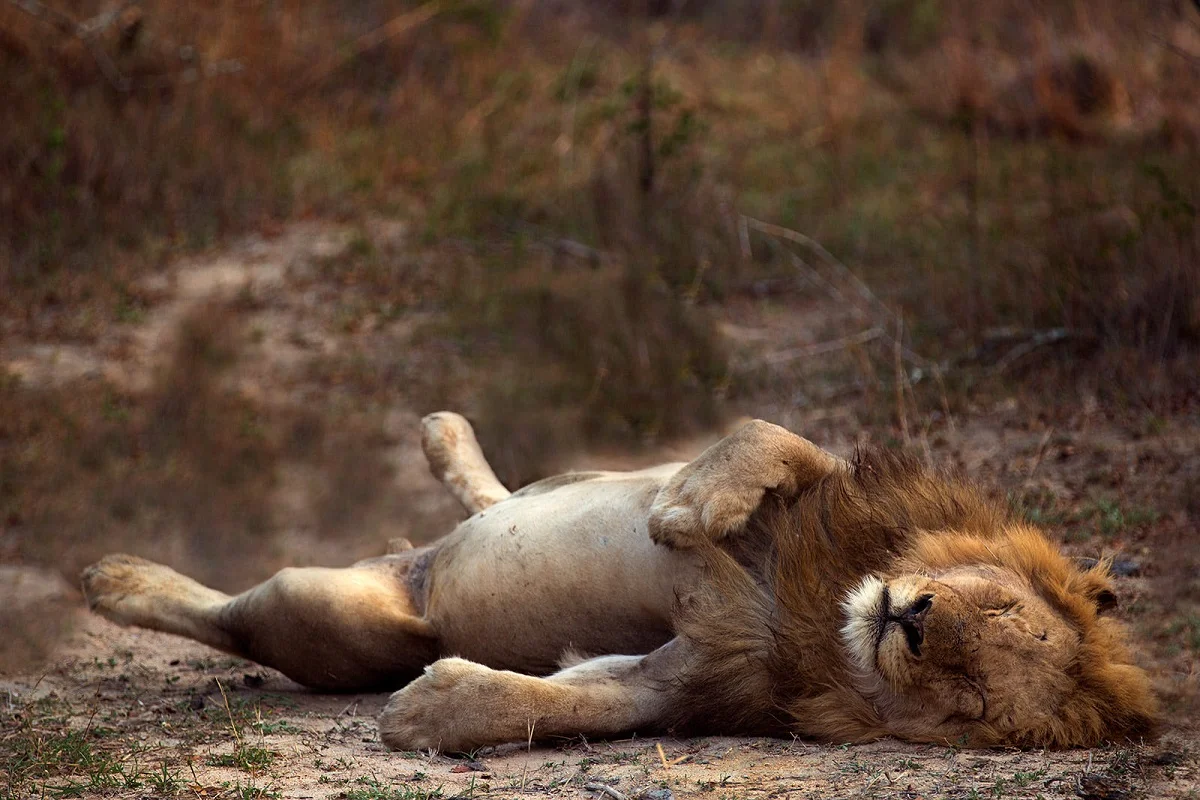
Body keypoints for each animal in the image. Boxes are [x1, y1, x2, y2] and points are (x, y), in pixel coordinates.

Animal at [79, 412, 1156, 753]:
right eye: (994, 603)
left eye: (973, 695)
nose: (917, 619)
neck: (826, 620)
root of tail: (413, 575)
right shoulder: (824, 495)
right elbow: (768, 438)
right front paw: (684, 508)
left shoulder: (691, 675)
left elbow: (562, 701)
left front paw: (429, 714)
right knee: (512, 492)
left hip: (334, 616)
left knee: (236, 619)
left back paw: (113, 578)